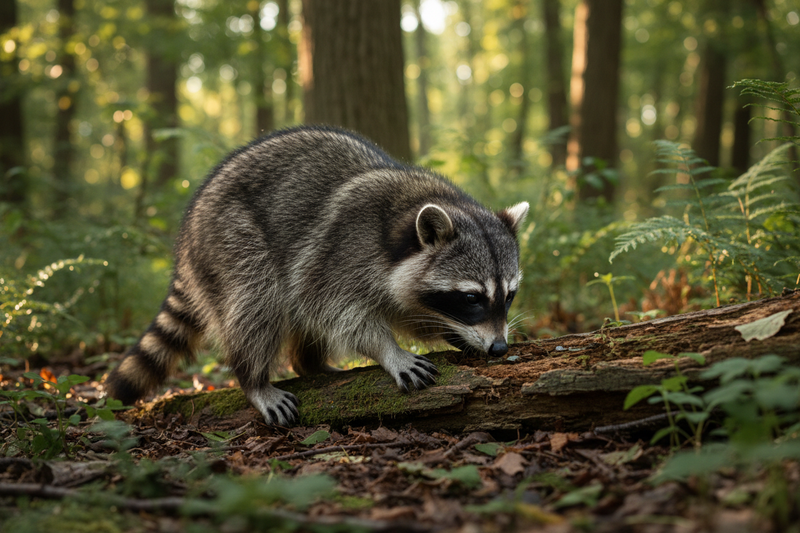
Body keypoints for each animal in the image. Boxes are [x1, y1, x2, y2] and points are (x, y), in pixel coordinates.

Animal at [105, 126, 529, 426]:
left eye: (508, 296)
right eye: (471, 298)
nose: (499, 348)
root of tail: (188, 237)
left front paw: (455, 334)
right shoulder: (341, 254)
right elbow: (339, 312)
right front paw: (387, 349)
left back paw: (311, 364)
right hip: (230, 240)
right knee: (257, 301)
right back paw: (254, 379)